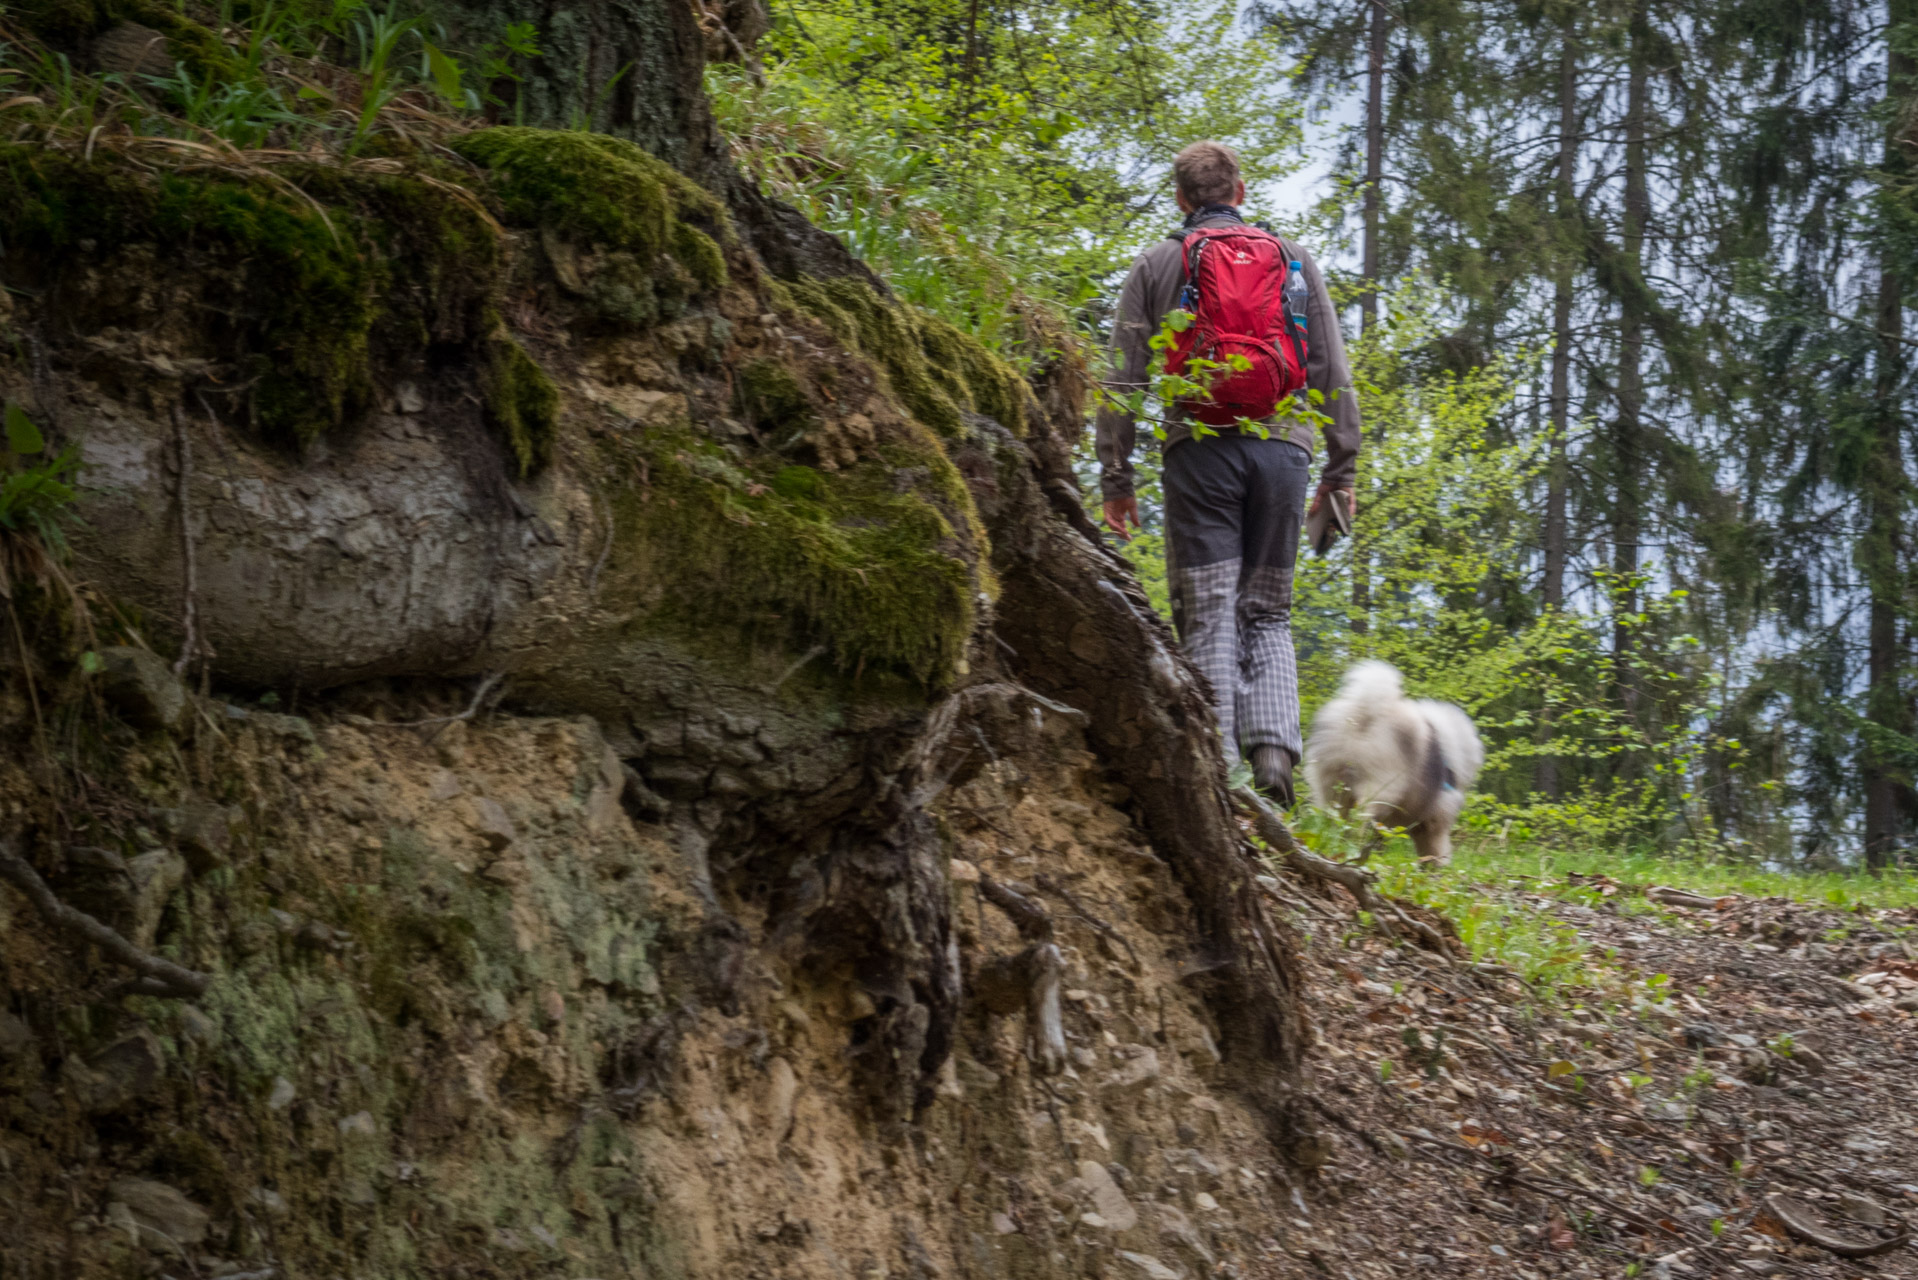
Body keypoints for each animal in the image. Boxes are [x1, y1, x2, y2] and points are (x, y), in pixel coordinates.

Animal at [1304, 667, 1480, 867]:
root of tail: (1364, 712)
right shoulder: (1436, 819)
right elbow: (1437, 846)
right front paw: (1436, 866)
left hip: (1331, 785)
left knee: (1335, 817)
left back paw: (1337, 842)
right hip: (1380, 786)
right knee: (1360, 819)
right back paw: (1355, 843)